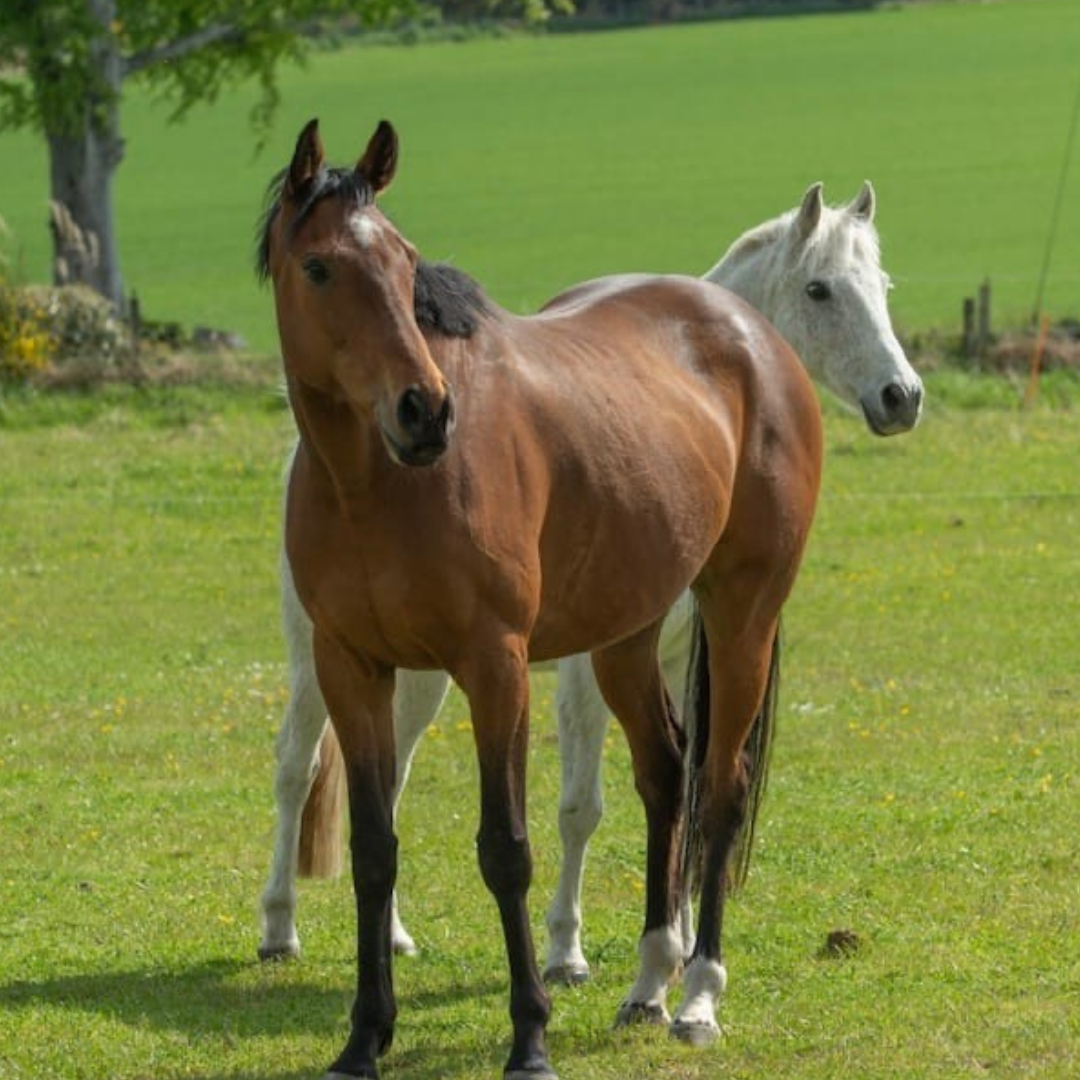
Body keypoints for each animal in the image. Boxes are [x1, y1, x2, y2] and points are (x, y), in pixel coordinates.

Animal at [258, 118, 822, 1079]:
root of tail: (752, 336)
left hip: (741, 614)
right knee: (666, 774)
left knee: (718, 787)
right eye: (320, 266)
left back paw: (699, 996)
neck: (378, 486)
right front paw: (364, 1037)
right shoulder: (350, 667)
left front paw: (529, 1037)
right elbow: (374, 850)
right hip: (626, 637)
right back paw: (647, 985)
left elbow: (506, 850)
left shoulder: (496, 667)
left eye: (407, 264)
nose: (425, 412)